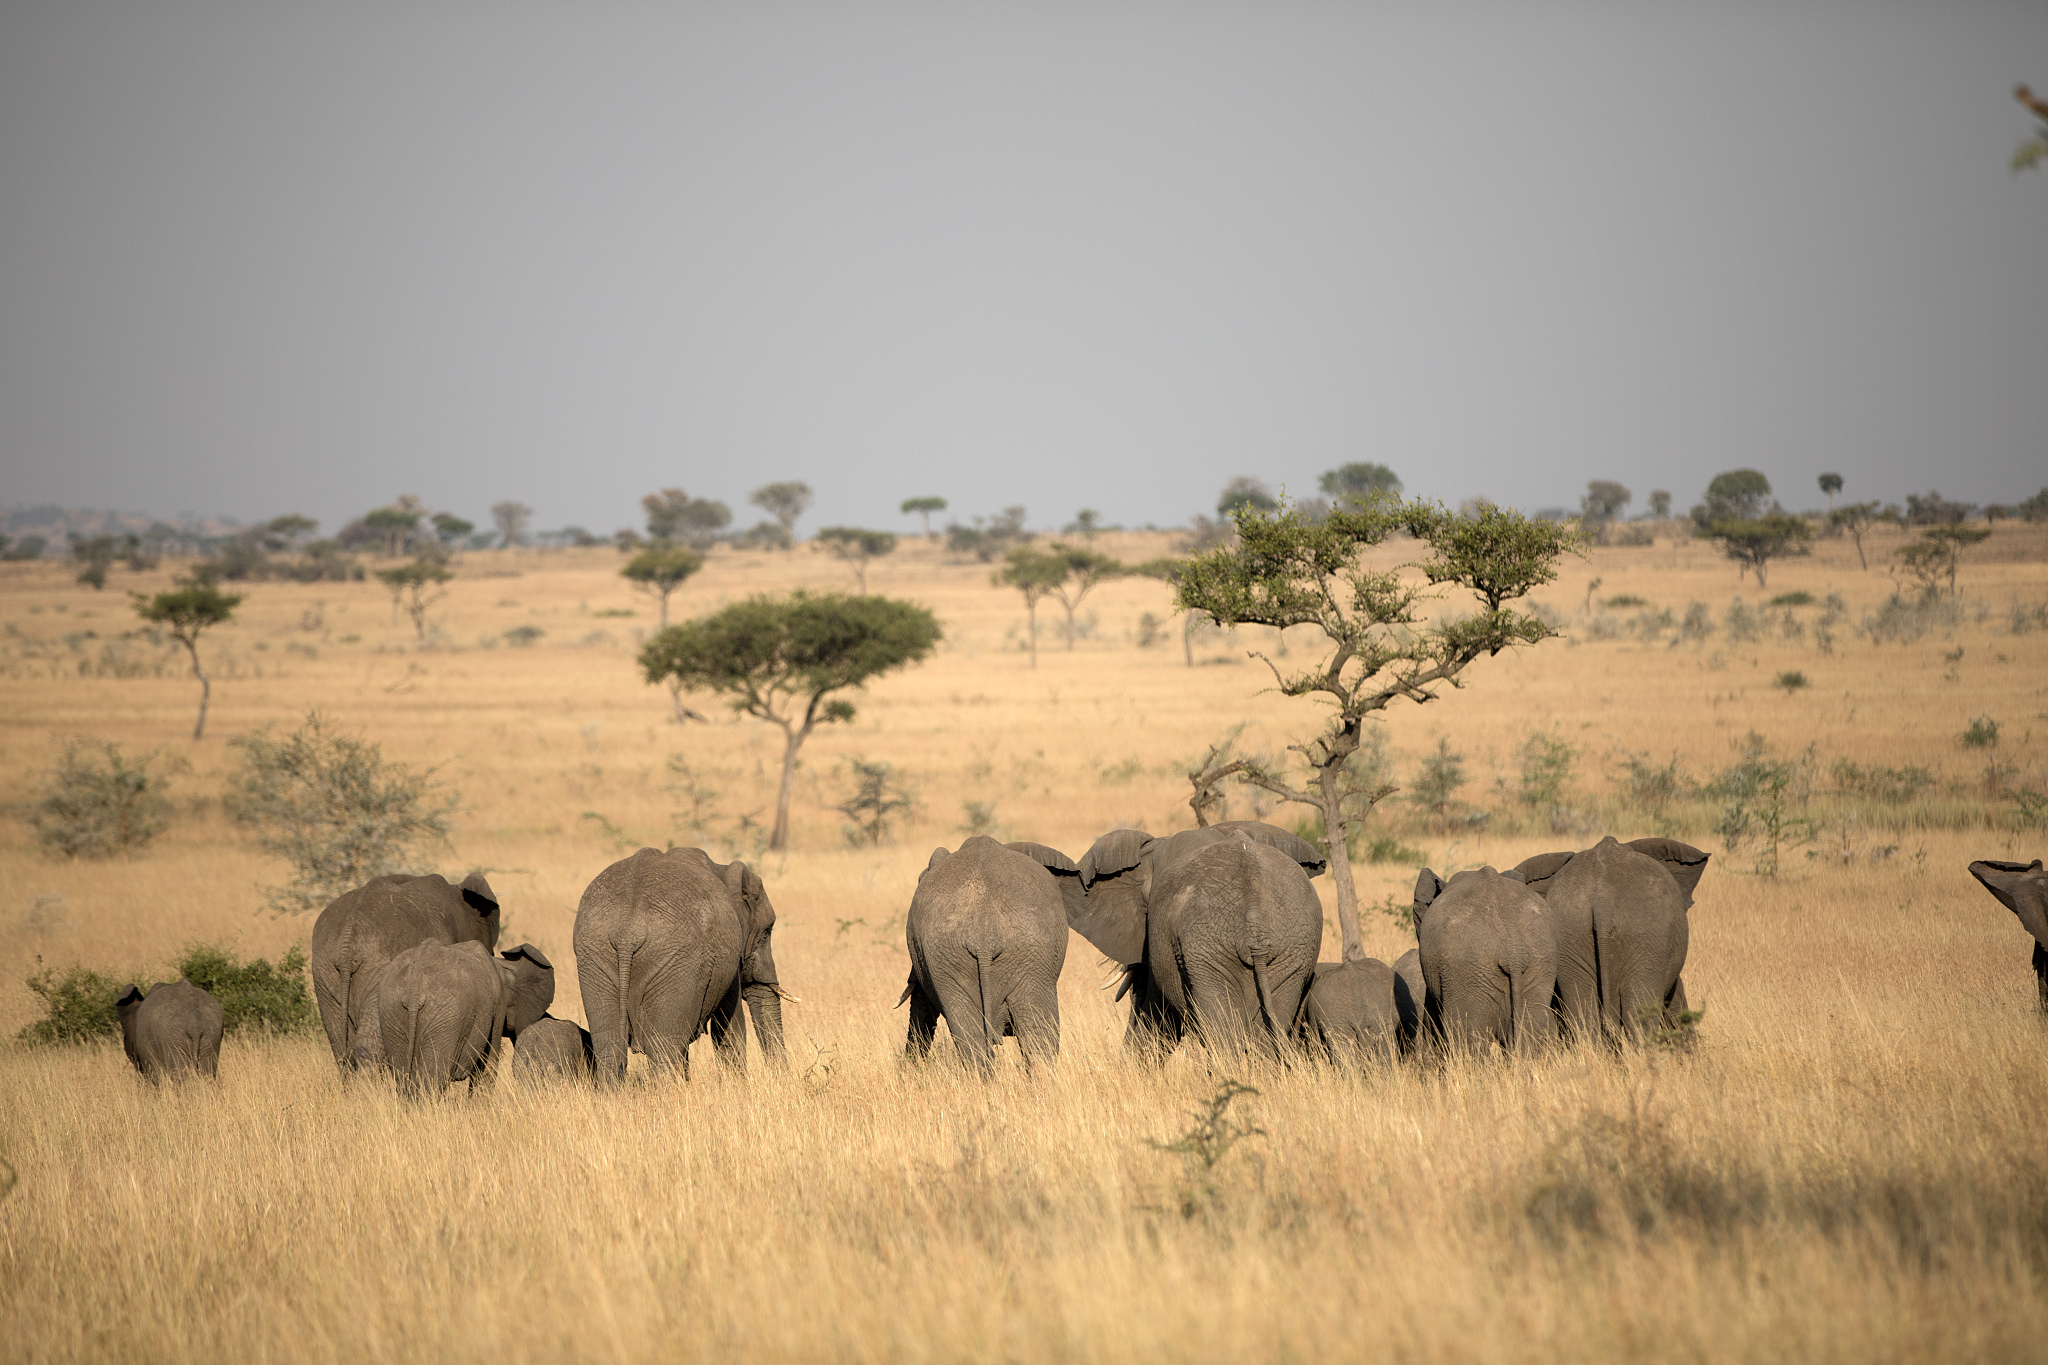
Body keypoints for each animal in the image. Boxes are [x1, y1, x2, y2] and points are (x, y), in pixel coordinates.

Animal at [573, 846, 787, 1082]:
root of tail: (627, 932)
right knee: (663, 1048)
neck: (722, 869)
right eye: (766, 932)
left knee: (609, 1043)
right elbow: (729, 1026)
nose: (780, 1077)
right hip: (676, 962)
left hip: (595, 956)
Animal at [1072, 820, 1326, 1060]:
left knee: (1225, 1034)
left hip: (1210, 950)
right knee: (1265, 1035)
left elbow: (1158, 1012)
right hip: (1291, 950)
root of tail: (1255, 925)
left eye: (1145, 903)